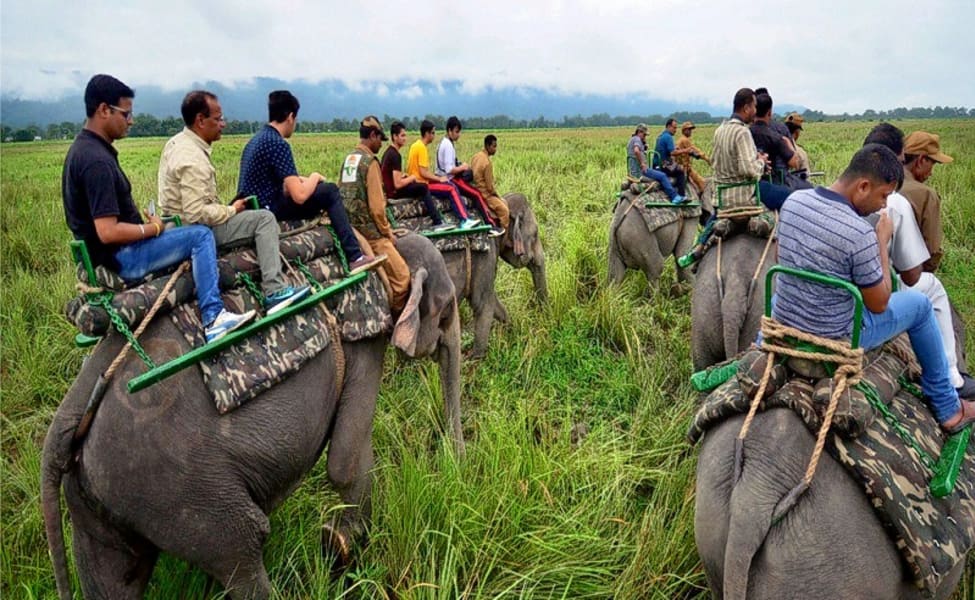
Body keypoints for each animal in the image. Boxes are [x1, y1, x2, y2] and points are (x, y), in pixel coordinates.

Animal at [45, 232, 466, 600]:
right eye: (447, 308)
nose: (456, 463)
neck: (383, 249)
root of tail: (68, 417)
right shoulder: (363, 339)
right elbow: (345, 462)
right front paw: (340, 547)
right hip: (179, 491)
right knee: (242, 550)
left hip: (97, 497)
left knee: (112, 578)